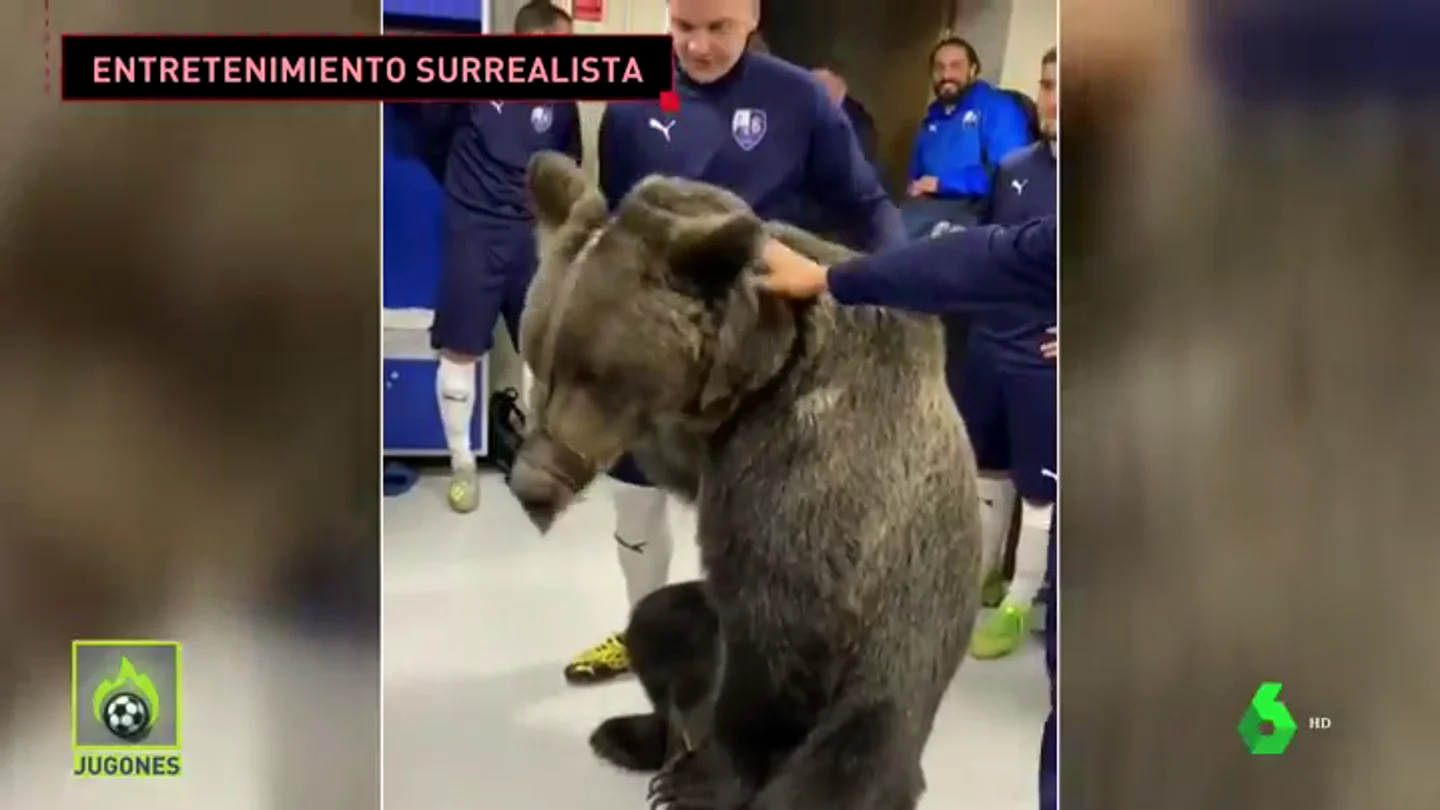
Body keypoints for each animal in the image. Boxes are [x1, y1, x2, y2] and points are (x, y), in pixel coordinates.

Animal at [507, 150, 983, 810]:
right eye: (539, 358)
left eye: (594, 373)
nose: (532, 482)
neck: (757, 375)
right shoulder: (711, 444)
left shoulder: (804, 463)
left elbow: (778, 630)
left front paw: (699, 781)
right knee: (659, 622)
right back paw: (632, 734)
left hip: (878, 707)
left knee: (838, 769)